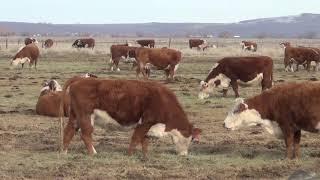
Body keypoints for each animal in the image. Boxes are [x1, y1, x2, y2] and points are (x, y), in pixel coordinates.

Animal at [60, 78, 201, 157]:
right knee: (85, 134)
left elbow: (144, 140)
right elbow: (136, 138)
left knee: (68, 131)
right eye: (190, 139)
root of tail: (78, 80)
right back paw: (93, 153)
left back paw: (64, 152)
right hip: (86, 116)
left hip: (75, 116)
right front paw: (130, 155)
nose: (184, 155)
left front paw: (145, 156)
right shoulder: (145, 122)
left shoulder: (148, 125)